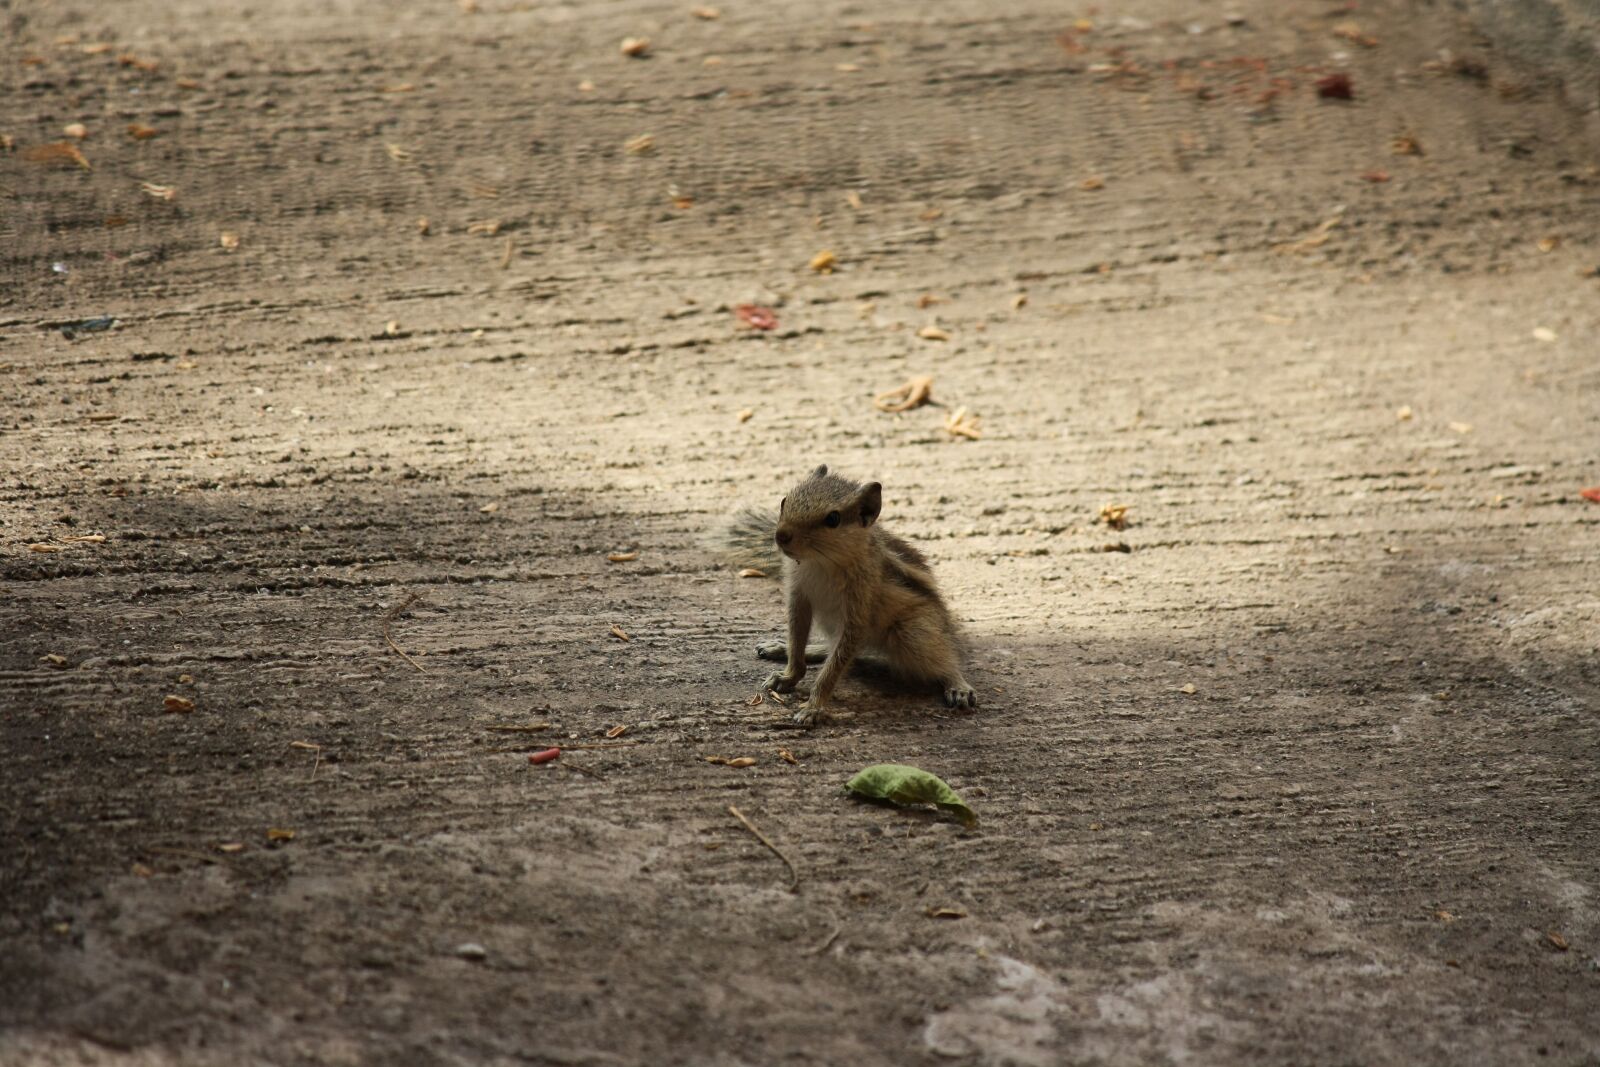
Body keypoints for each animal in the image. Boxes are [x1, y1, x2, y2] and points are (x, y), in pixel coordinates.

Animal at [720, 464, 977, 727]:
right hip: (830, 621)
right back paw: (781, 648)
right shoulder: (798, 597)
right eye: (784, 501)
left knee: (944, 657)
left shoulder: (858, 611)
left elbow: (834, 667)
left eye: (833, 519)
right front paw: (788, 675)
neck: (821, 561)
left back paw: (958, 685)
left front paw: (813, 707)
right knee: (836, 650)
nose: (781, 535)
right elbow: (797, 639)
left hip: (914, 632)